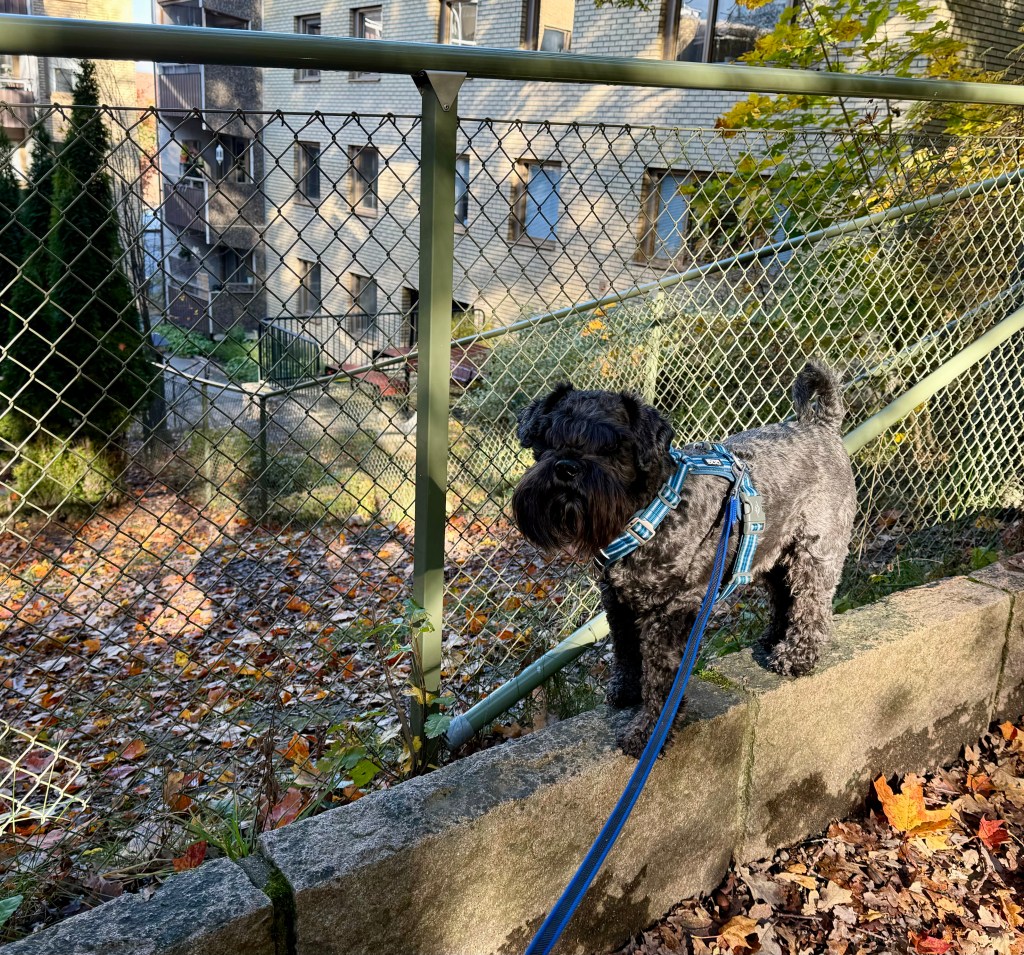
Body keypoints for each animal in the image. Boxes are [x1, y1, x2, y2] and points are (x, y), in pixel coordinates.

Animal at [511, 360, 857, 757]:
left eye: (613, 446)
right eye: (547, 440)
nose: (566, 468)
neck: (652, 510)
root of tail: (822, 425)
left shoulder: (670, 611)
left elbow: (661, 677)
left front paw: (648, 732)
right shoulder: (617, 601)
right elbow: (626, 651)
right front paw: (626, 691)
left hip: (815, 552)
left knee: (812, 606)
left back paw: (797, 656)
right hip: (771, 552)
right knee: (785, 597)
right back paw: (773, 640)